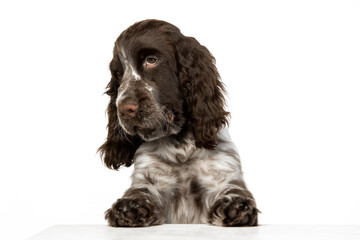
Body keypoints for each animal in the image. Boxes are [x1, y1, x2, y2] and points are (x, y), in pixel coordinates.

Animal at [98, 20, 258, 227]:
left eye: (151, 60)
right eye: (118, 73)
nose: (124, 109)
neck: (179, 143)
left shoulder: (222, 172)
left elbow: (233, 189)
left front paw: (236, 206)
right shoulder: (150, 178)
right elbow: (139, 192)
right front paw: (128, 207)